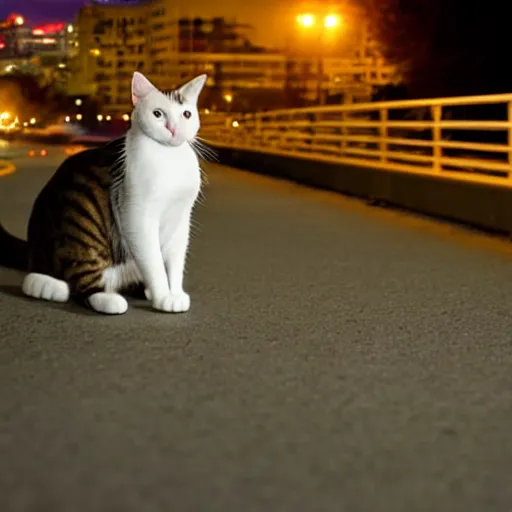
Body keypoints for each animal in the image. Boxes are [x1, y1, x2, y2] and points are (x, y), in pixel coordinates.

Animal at [0, 70, 208, 314]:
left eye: (186, 114)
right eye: (158, 113)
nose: (173, 129)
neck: (169, 157)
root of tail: (36, 259)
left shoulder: (181, 219)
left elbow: (175, 262)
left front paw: (174, 293)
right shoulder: (138, 219)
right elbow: (155, 263)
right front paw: (163, 296)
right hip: (81, 233)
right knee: (81, 286)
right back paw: (108, 299)